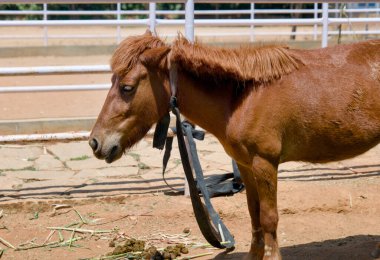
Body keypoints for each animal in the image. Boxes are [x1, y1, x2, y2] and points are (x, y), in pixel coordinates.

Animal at [90, 31, 380, 260]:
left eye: (127, 87)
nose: (95, 142)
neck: (243, 97)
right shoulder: (246, 165)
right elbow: (254, 215)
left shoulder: (265, 163)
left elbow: (269, 217)